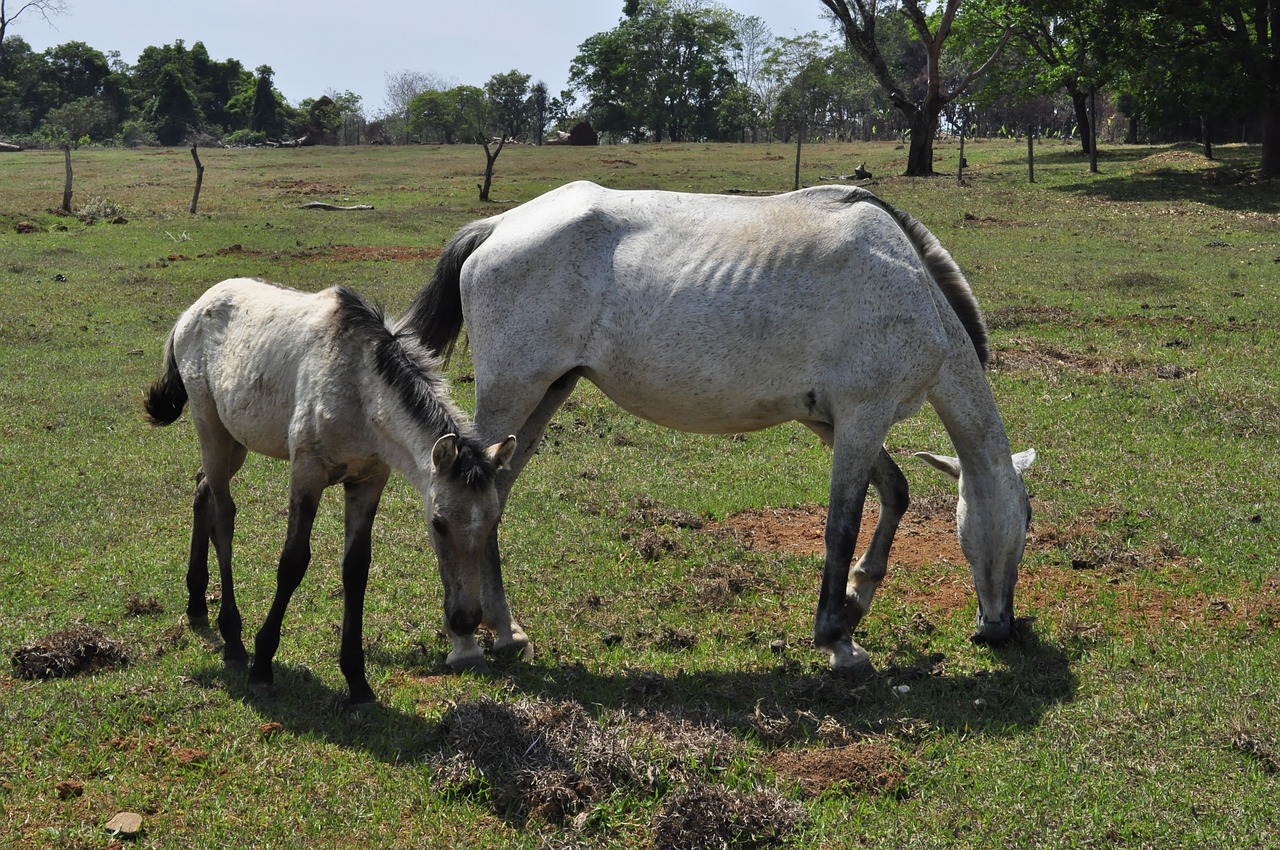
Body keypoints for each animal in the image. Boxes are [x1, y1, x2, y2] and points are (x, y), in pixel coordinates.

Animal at [149, 279, 524, 701]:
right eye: (438, 524)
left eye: (494, 521)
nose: (465, 619)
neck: (359, 388)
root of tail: (191, 311)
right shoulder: (306, 473)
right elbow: (292, 563)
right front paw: (262, 664)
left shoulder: (368, 480)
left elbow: (356, 569)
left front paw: (357, 680)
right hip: (210, 427)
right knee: (222, 515)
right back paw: (232, 638)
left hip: (236, 439)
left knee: (202, 492)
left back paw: (197, 603)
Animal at [404, 183, 1034, 675]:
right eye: (1026, 524)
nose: (999, 628)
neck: (910, 285)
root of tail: (496, 227)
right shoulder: (863, 416)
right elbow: (841, 525)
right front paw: (838, 639)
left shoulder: (832, 422)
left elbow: (895, 492)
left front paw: (857, 599)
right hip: (512, 395)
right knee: (462, 501)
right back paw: (466, 636)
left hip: (545, 397)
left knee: (496, 499)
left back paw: (506, 632)